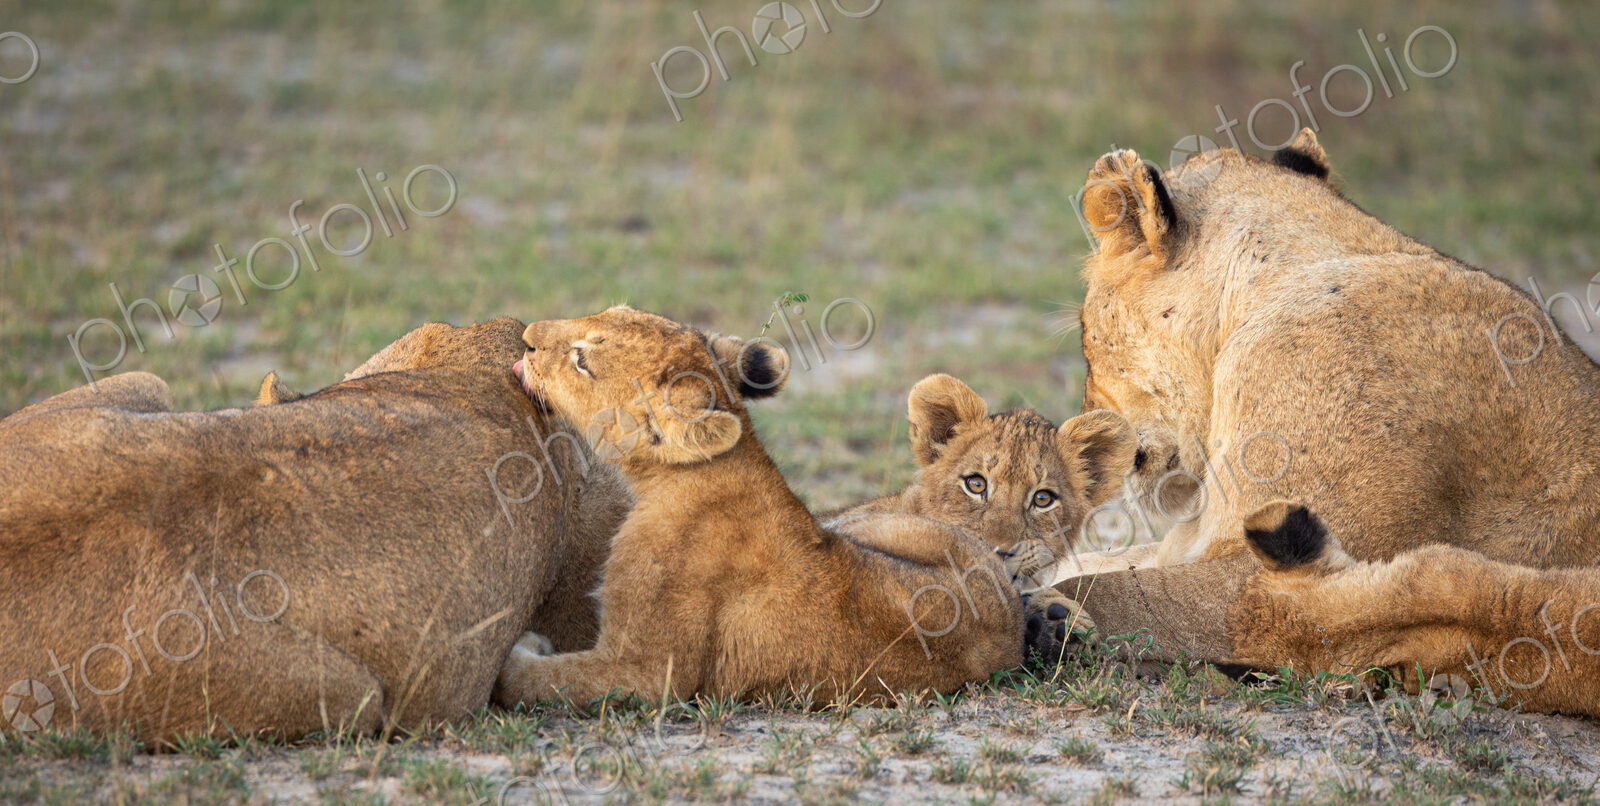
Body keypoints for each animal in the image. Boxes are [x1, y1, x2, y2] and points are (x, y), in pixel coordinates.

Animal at [492, 306, 1025, 706]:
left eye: (583, 359)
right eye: (606, 309)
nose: (527, 336)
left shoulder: (645, 672)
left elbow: (546, 681)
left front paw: (521, 653)